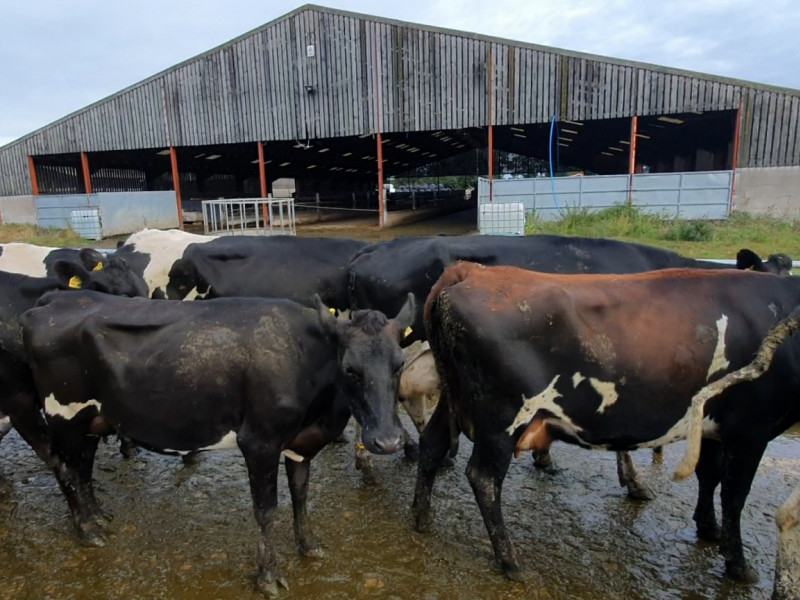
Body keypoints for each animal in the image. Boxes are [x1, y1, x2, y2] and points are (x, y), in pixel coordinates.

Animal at [21, 290, 415, 596]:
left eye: (399, 364)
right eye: (350, 369)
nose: (389, 441)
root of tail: (52, 300)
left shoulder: (300, 443)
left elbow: (301, 495)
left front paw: (309, 546)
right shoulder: (259, 441)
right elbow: (266, 510)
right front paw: (267, 577)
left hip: (92, 420)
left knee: (82, 467)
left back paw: (98, 518)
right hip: (63, 414)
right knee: (65, 469)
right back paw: (86, 531)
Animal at [413, 262, 800, 585]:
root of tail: (470, 270)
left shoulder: (715, 427)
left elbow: (710, 477)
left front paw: (709, 529)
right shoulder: (751, 430)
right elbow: (734, 496)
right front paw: (739, 565)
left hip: (454, 401)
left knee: (431, 445)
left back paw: (422, 519)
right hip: (502, 418)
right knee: (484, 478)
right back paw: (509, 560)